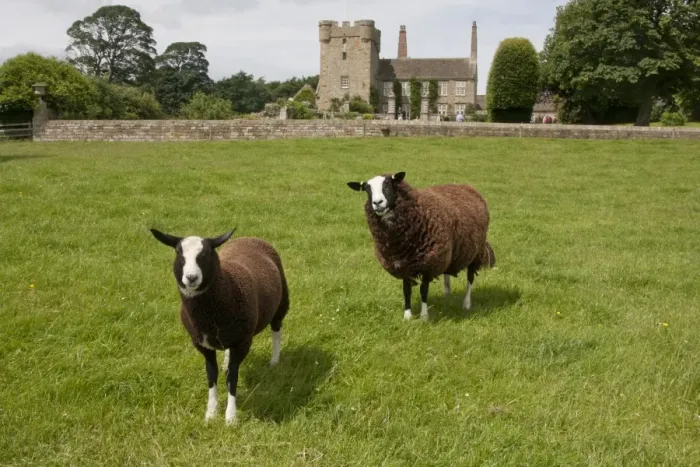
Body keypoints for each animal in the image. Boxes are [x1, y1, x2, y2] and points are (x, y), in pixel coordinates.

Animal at [150, 228, 290, 425]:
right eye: (178, 252)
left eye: (206, 253)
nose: (191, 277)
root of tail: (250, 237)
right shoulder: (202, 345)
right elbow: (211, 375)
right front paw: (211, 413)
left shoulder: (242, 342)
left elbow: (232, 377)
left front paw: (230, 417)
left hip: (281, 303)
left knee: (276, 331)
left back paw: (274, 361)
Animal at [346, 171, 495, 321]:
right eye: (367, 189)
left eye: (388, 185)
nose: (377, 203)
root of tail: (466, 187)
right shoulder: (402, 264)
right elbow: (406, 290)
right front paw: (407, 316)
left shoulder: (429, 263)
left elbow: (424, 290)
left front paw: (424, 316)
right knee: (448, 273)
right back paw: (447, 293)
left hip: (475, 251)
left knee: (470, 278)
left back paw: (466, 303)